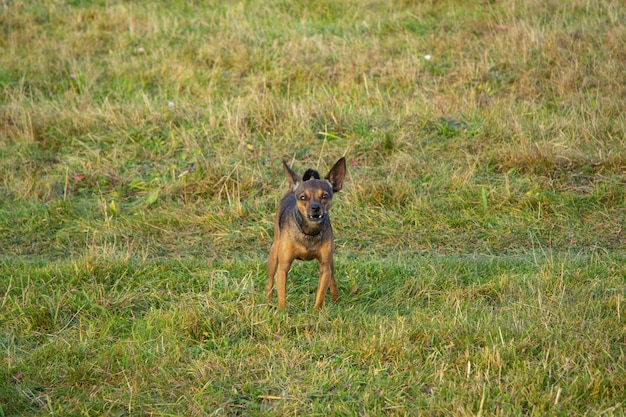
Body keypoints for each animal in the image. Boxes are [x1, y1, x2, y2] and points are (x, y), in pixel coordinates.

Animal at [264, 156, 346, 308]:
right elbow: (282, 295)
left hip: (330, 263)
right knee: (270, 281)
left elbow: (320, 295)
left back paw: (336, 301)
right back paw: (268, 301)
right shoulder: (283, 268)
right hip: (274, 254)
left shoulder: (325, 268)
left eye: (325, 196)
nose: (315, 207)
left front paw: (316, 311)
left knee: (333, 280)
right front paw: (282, 311)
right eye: (303, 197)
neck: (309, 231)